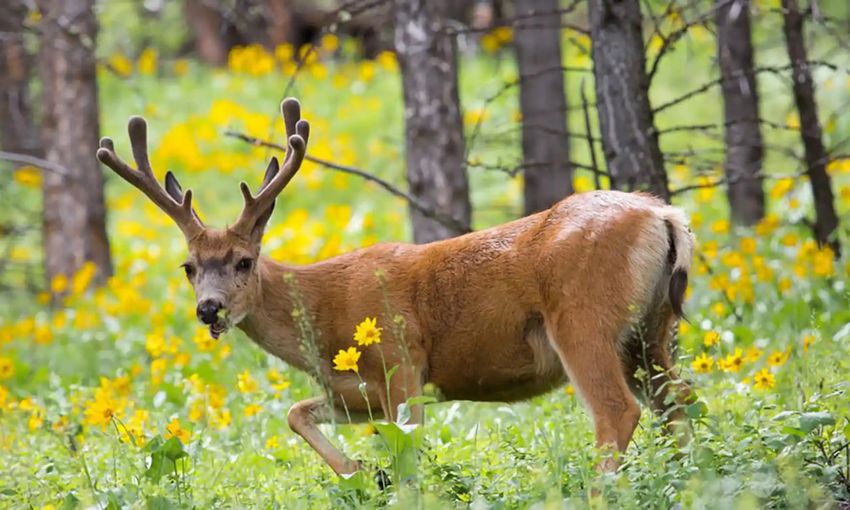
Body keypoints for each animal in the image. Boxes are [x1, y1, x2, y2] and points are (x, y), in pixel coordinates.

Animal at [97, 98, 696, 478]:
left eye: (244, 261)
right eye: (188, 266)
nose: (209, 309)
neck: (322, 315)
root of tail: (665, 215)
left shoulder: (402, 363)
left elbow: (408, 459)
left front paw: (384, 478)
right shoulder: (355, 391)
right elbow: (295, 413)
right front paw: (360, 471)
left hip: (582, 318)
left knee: (618, 412)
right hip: (650, 330)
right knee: (679, 404)